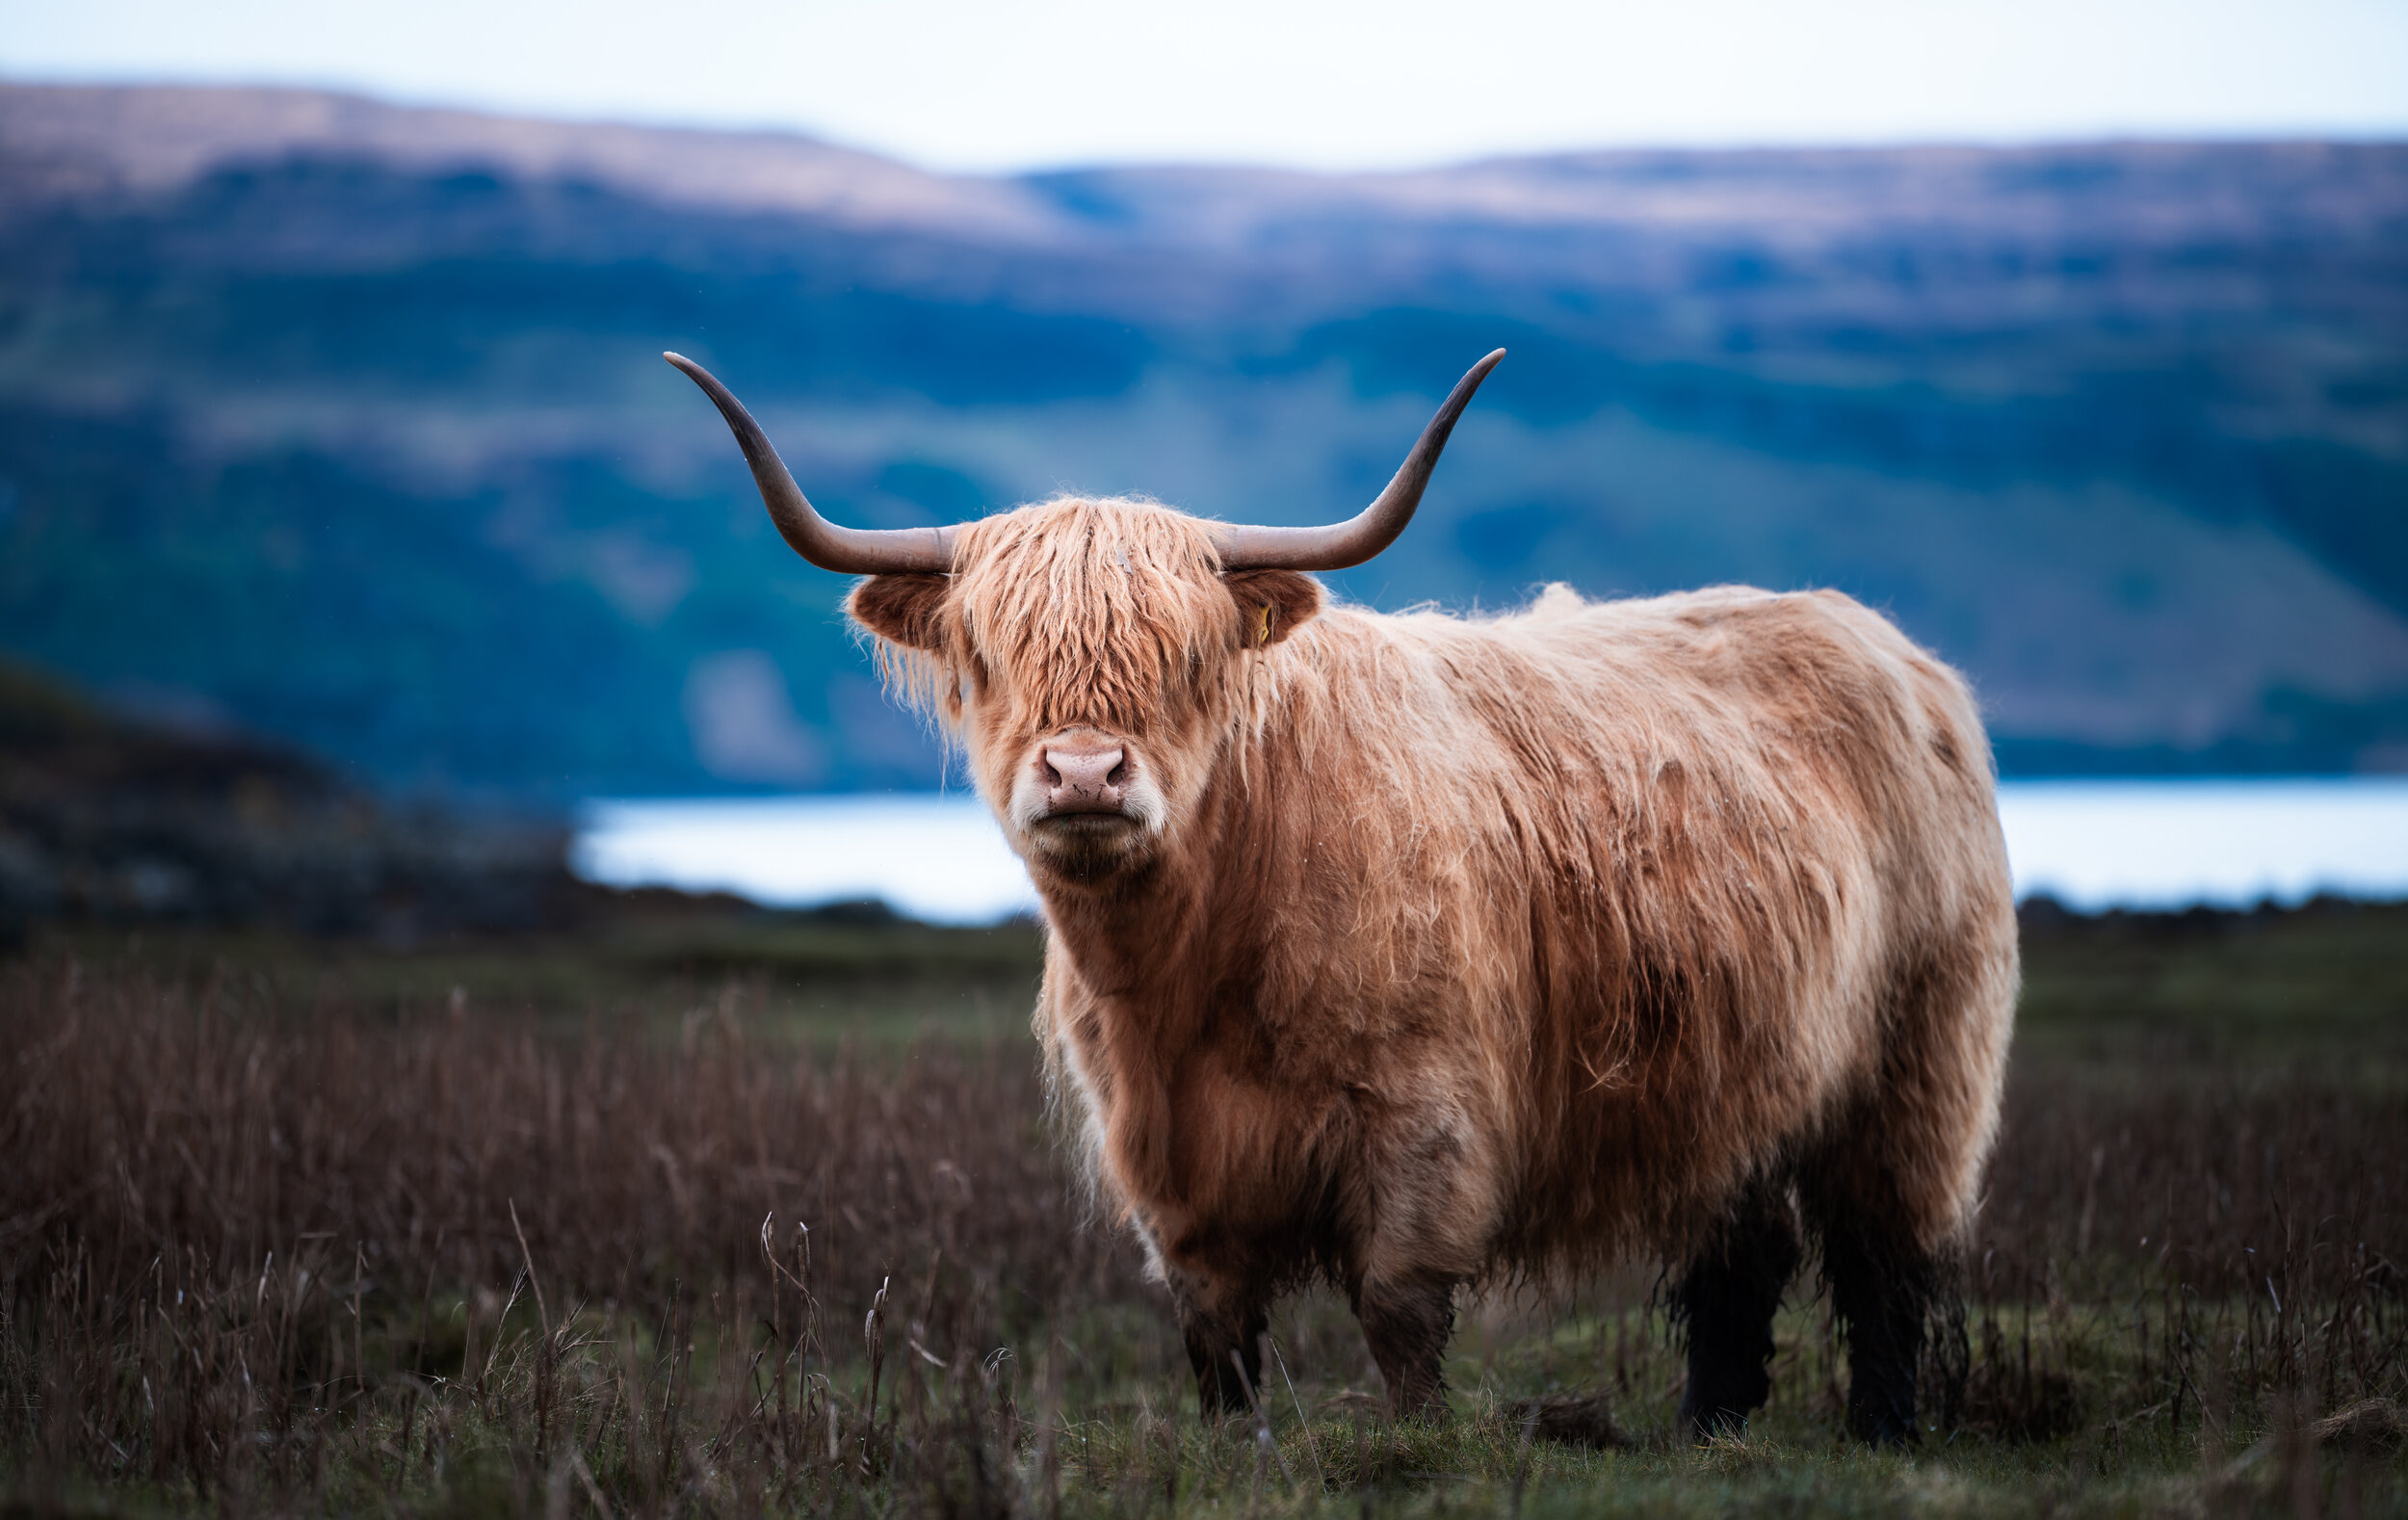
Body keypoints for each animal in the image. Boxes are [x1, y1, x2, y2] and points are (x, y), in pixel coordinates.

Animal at [669, 347, 2023, 1454]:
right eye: (992, 657)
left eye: (1184, 654)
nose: (1086, 774)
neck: (1193, 972)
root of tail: (1898, 654)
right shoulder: (1167, 1163)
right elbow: (1216, 1336)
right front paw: (1234, 1458)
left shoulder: (1423, 1123)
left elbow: (1399, 1314)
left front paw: (1419, 1453)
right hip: (1727, 1073)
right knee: (1739, 1250)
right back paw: (1712, 1430)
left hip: (1921, 1053)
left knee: (1886, 1249)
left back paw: (1883, 1430)